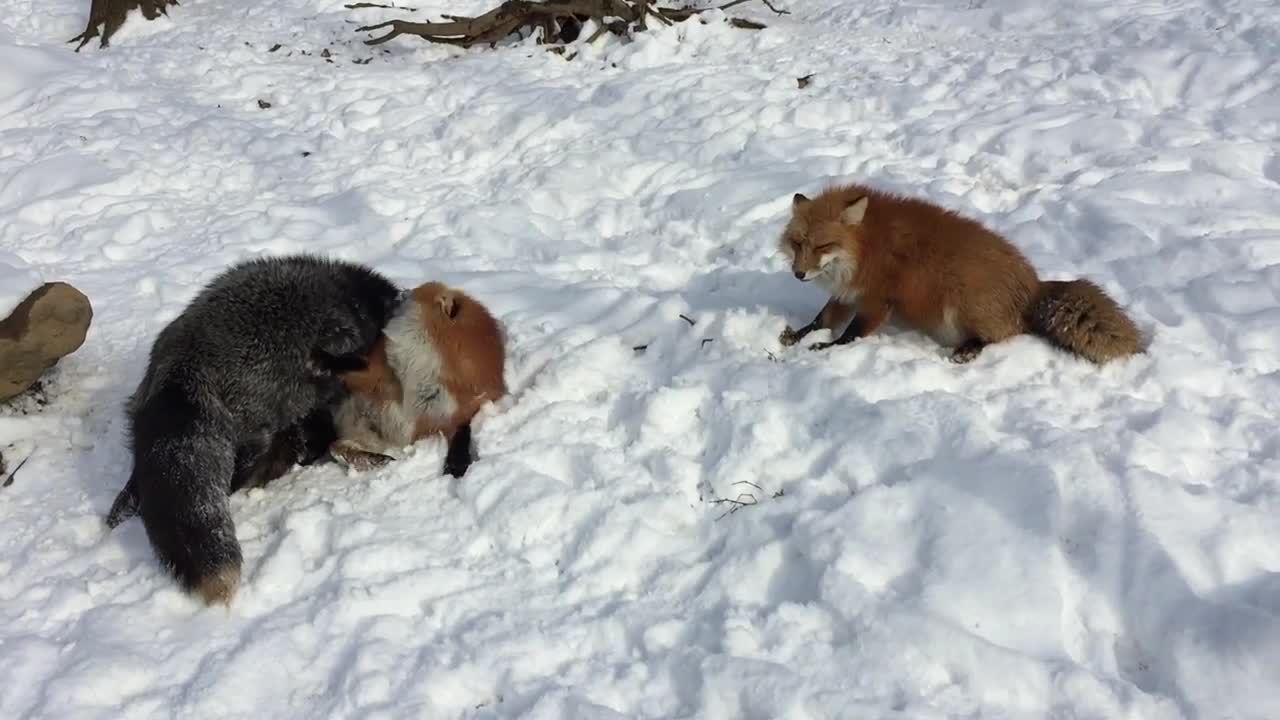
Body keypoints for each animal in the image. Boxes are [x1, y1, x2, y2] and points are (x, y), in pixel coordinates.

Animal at [332, 280, 506, 476]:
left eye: (412, 294)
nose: (398, 291)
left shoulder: (451, 414)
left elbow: (461, 435)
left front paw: (456, 465)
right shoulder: (379, 375)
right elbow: (354, 371)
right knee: (337, 446)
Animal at [773, 184, 1146, 363]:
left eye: (823, 246)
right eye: (798, 243)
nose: (798, 274)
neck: (866, 247)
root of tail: (1035, 284)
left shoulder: (878, 297)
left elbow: (851, 334)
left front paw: (826, 348)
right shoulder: (847, 293)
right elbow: (821, 320)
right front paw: (797, 336)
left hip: (961, 302)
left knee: (1006, 334)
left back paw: (969, 350)